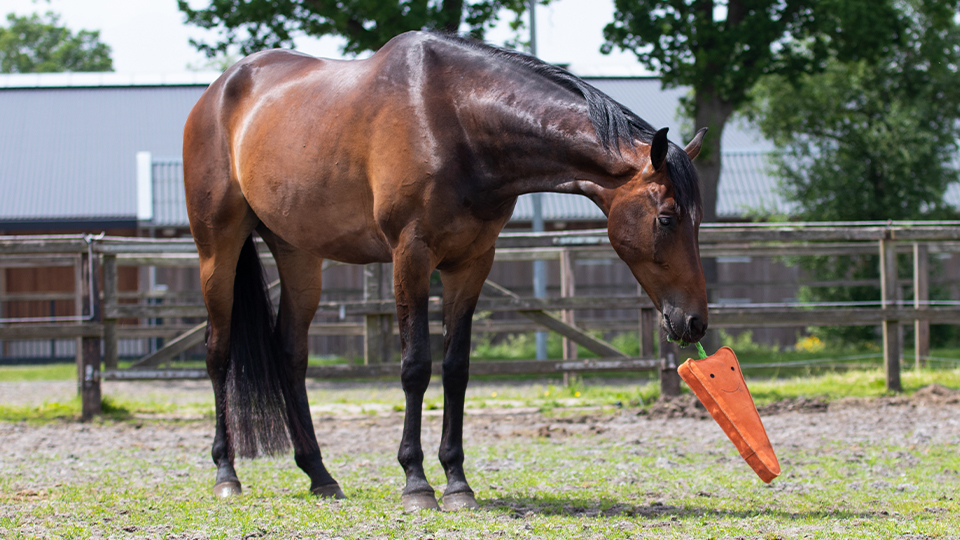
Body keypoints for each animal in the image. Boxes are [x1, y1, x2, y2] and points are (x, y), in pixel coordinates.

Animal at [183, 31, 708, 512]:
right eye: (666, 218)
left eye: (698, 220)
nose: (695, 322)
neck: (457, 121)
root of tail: (219, 91)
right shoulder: (410, 257)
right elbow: (416, 366)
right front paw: (416, 482)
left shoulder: (471, 263)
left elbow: (456, 370)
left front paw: (457, 482)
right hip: (217, 249)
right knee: (217, 352)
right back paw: (226, 474)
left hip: (298, 255)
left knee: (291, 354)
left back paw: (320, 475)